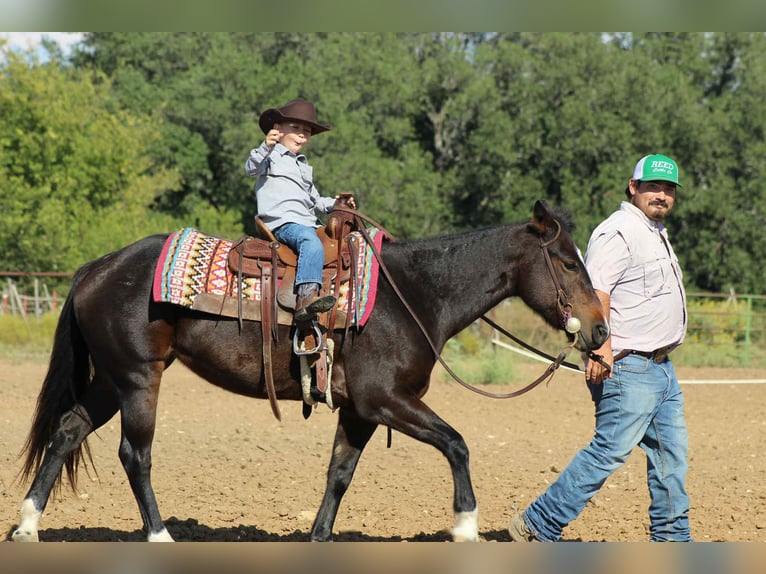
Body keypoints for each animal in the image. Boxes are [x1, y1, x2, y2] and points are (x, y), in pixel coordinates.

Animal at [12, 199, 609, 542]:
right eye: (567, 262)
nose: (600, 331)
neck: (411, 295)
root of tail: (97, 267)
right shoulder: (384, 400)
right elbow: (457, 443)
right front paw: (465, 528)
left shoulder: (359, 412)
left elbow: (339, 474)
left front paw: (319, 539)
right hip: (139, 379)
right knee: (135, 455)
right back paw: (159, 538)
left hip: (112, 380)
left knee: (66, 431)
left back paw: (27, 527)